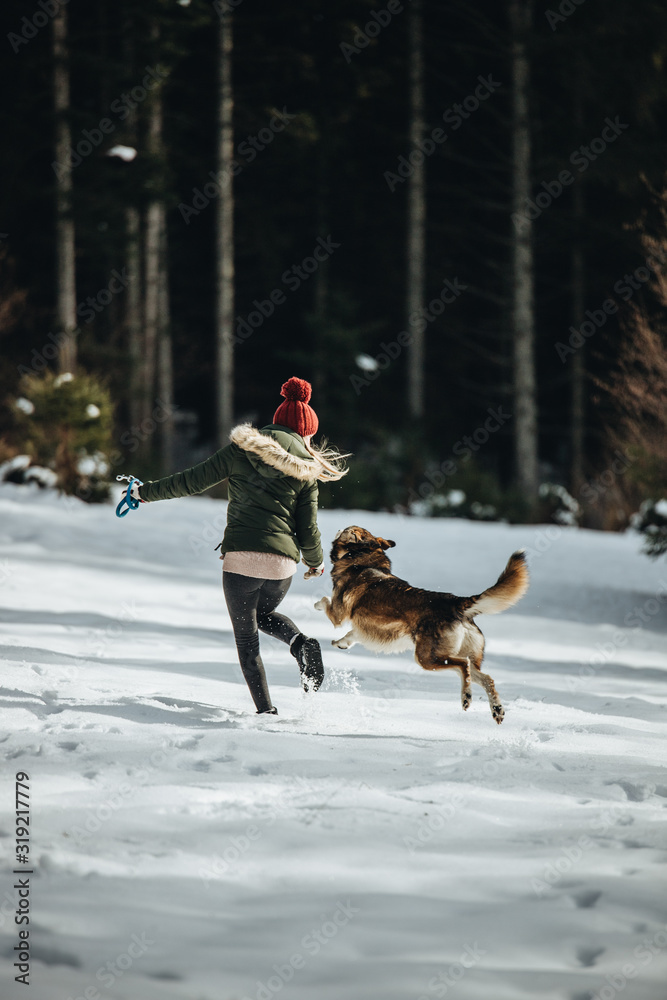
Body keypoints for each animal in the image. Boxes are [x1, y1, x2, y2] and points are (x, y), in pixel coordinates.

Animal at [314, 528, 532, 724]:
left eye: (349, 530)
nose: (341, 528)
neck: (362, 558)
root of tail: (456, 602)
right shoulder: (365, 628)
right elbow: (352, 634)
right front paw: (341, 643)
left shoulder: (337, 615)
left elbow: (324, 601)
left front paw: (315, 605)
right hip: (449, 657)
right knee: (486, 678)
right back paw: (497, 710)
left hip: (426, 659)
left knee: (464, 666)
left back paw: (466, 698)